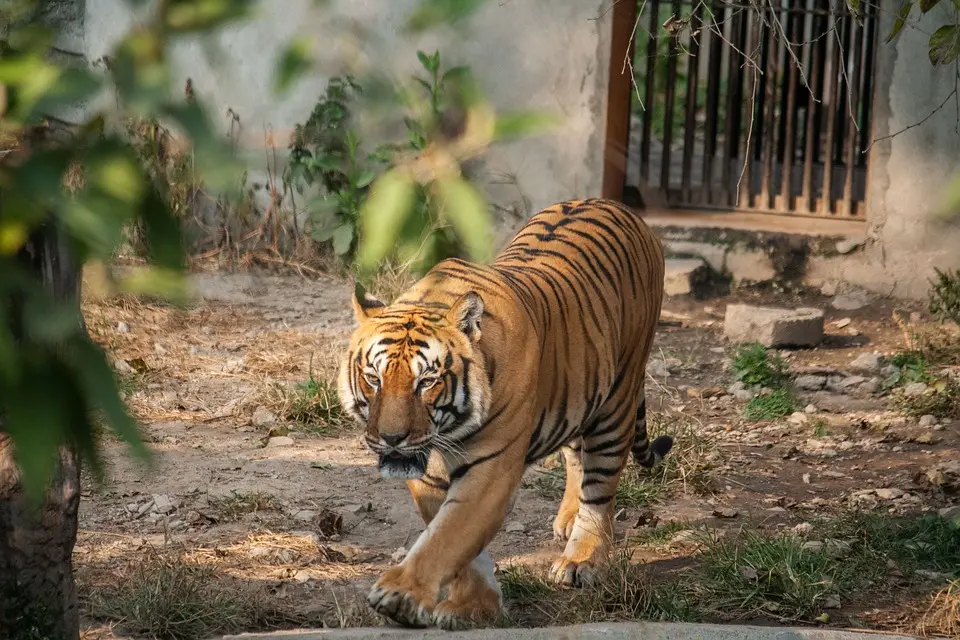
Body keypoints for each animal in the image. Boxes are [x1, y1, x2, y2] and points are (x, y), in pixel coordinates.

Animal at [342, 198, 672, 628]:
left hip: (618, 397)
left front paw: (401, 596)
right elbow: (458, 544)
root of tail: (617, 205)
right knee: (576, 455)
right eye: (373, 378)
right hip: (579, 391)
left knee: (600, 487)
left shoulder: (492, 469)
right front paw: (475, 605)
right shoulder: (429, 476)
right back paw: (568, 518)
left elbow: (449, 536)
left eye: (427, 382)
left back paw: (582, 560)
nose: (392, 439)